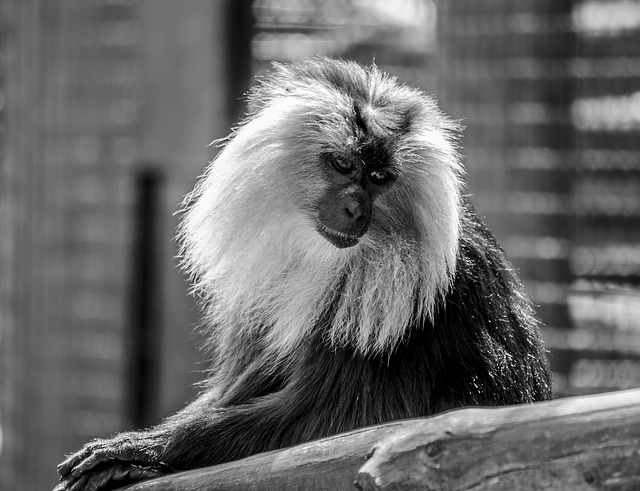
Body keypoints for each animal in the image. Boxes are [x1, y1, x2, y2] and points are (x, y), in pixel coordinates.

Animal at [55, 57, 553, 491]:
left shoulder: (408, 301)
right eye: (344, 165)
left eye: (379, 178)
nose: (355, 208)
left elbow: (338, 423)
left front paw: (146, 449)